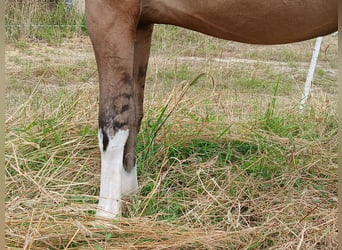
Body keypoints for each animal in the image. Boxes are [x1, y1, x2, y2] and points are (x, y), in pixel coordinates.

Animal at [85, 0, 336, 219]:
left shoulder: (110, 12)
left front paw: (106, 217)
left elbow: (112, 124)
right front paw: (129, 196)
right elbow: (134, 116)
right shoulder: (141, 22)